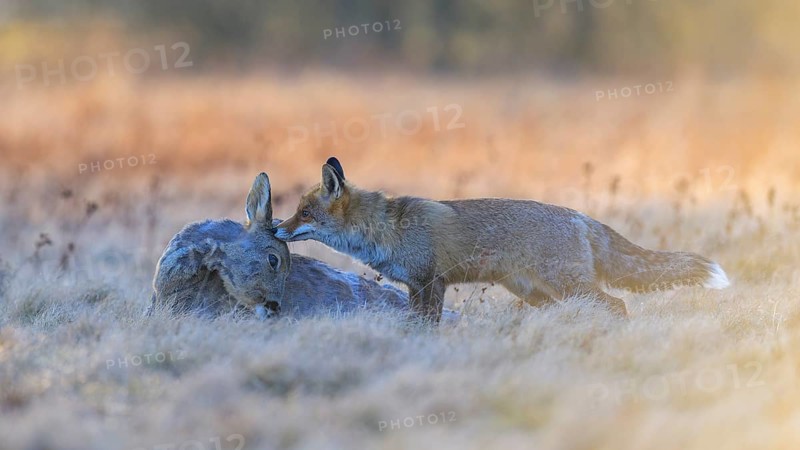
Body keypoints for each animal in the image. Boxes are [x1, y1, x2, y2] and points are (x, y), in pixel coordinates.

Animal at [274, 157, 731, 322]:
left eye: (304, 214)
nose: (276, 227)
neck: (386, 229)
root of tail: (581, 217)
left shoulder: (430, 282)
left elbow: (426, 326)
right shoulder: (416, 286)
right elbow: (414, 324)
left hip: (569, 286)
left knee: (617, 305)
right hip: (537, 293)